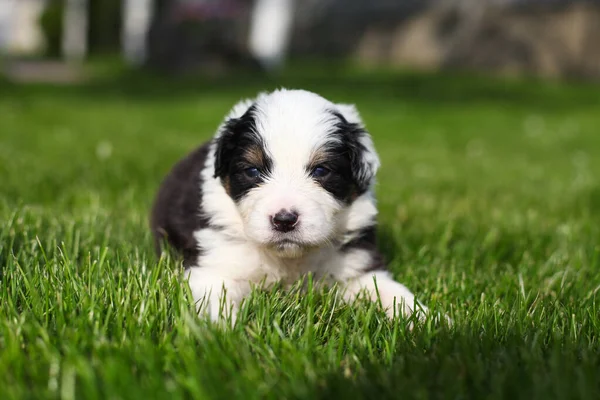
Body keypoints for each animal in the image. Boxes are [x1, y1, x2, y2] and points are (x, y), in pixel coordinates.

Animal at [152, 89, 428, 324]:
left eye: (321, 170)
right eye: (252, 171)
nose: (284, 220)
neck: (289, 259)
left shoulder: (356, 264)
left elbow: (389, 291)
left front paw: (424, 320)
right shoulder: (215, 265)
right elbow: (215, 305)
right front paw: (220, 336)